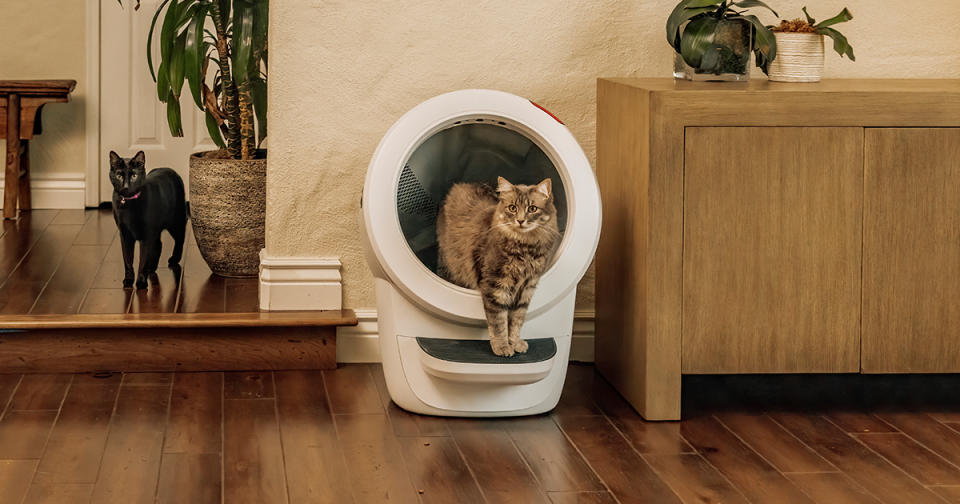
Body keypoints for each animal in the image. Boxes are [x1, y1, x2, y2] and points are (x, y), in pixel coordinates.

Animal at [109, 150, 188, 290]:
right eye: (119, 175)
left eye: (134, 175)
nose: (126, 187)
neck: (129, 204)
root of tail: (170, 169)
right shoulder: (125, 235)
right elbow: (127, 260)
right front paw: (128, 280)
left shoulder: (146, 234)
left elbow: (143, 260)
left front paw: (141, 282)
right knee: (159, 244)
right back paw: (152, 268)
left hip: (176, 222)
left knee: (180, 240)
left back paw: (174, 259)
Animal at [436, 175, 564, 356]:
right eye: (512, 208)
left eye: (532, 209)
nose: (520, 220)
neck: (525, 248)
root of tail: (459, 185)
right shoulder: (496, 286)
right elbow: (499, 323)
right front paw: (502, 347)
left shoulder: (527, 288)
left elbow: (517, 321)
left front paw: (515, 343)